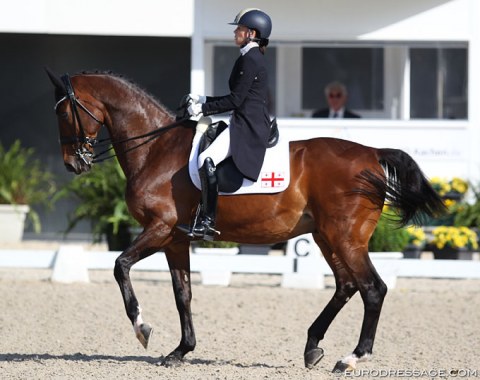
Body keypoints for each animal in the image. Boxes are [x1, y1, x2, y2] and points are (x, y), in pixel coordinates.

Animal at [47, 70, 444, 372]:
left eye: (64, 113)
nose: (72, 163)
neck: (155, 150)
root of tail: (372, 154)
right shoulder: (175, 239)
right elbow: (182, 293)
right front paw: (181, 350)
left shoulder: (158, 229)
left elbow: (120, 265)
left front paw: (142, 328)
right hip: (325, 236)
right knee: (347, 285)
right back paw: (312, 346)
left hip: (346, 237)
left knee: (372, 289)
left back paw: (351, 358)